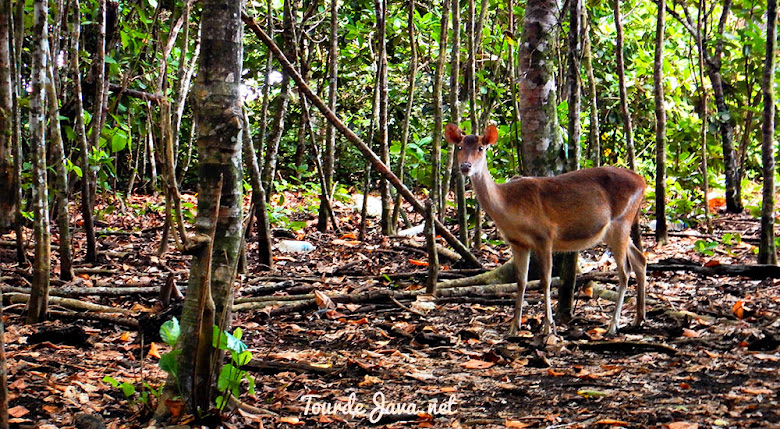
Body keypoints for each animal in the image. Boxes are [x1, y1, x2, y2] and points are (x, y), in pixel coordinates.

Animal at [442, 123, 648, 334]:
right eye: (459, 147)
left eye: (481, 148)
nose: (465, 166)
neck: (508, 206)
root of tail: (643, 182)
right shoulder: (517, 242)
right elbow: (521, 281)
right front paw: (513, 327)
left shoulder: (545, 235)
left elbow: (546, 280)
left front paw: (548, 326)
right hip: (615, 228)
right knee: (640, 259)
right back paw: (638, 318)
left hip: (621, 221)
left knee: (625, 271)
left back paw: (613, 325)